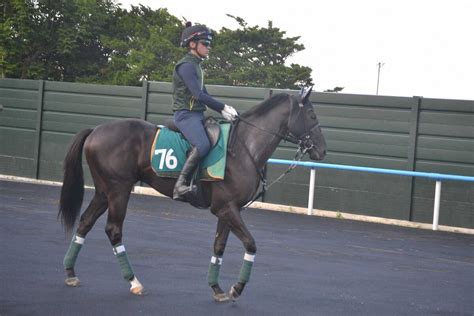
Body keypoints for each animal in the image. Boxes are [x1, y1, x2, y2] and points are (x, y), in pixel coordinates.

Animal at [58, 86, 326, 302]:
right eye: (312, 115)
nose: (322, 151)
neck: (244, 148)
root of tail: (95, 130)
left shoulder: (228, 210)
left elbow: (219, 247)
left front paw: (217, 288)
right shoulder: (227, 209)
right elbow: (251, 244)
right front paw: (237, 288)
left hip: (104, 192)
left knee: (85, 223)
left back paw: (70, 273)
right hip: (118, 191)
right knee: (113, 230)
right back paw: (134, 282)